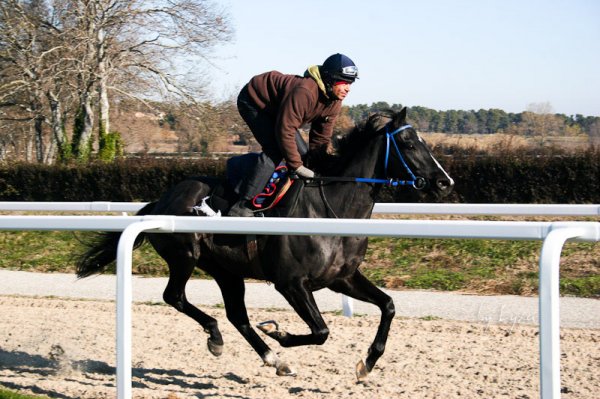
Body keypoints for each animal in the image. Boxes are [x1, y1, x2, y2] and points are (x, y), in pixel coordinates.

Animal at [77, 107, 454, 382]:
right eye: (409, 144)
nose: (445, 182)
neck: (331, 209)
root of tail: (161, 201)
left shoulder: (341, 278)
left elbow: (388, 306)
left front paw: (367, 364)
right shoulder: (291, 283)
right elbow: (321, 330)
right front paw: (279, 332)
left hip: (226, 270)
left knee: (236, 314)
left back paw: (271, 358)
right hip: (184, 255)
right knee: (175, 297)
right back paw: (219, 338)